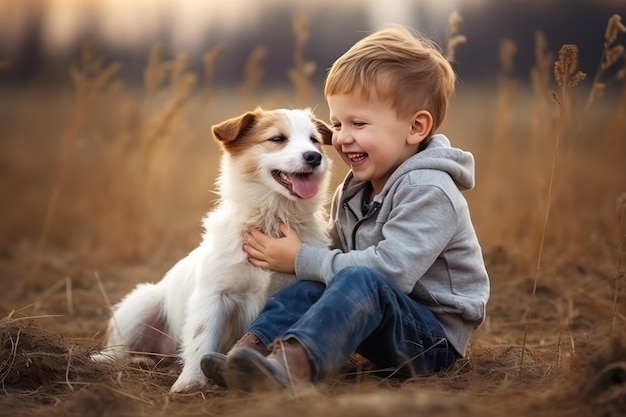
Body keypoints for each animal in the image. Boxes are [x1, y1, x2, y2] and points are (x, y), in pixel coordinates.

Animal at [91, 105, 332, 392]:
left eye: (314, 140)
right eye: (277, 139)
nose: (314, 157)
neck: (269, 222)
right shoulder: (214, 295)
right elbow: (201, 337)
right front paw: (190, 382)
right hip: (140, 305)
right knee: (119, 348)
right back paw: (129, 360)